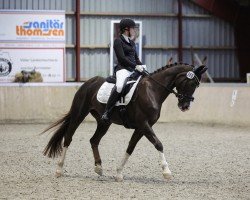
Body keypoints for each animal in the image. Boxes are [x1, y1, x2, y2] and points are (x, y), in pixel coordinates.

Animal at [42, 62, 207, 181]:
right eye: (191, 83)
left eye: (196, 85)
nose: (185, 106)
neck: (153, 90)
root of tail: (88, 82)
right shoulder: (144, 124)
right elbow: (158, 144)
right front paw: (167, 172)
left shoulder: (141, 127)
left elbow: (130, 148)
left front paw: (119, 173)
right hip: (79, 114)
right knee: (68, 138)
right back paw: (59, 170)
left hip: (104, 122)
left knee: (94, 140)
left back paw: (99, 168)